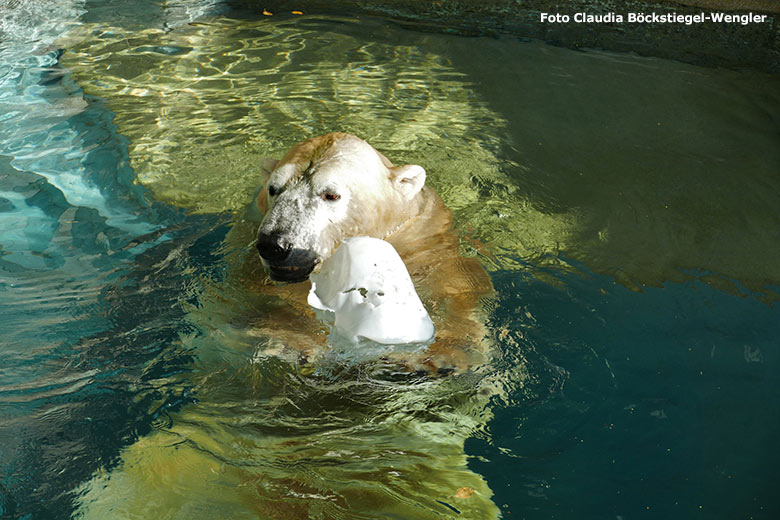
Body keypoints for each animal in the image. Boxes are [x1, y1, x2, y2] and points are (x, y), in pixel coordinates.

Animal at [253, 132, 490, 372]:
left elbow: (457, 281)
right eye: (273, 188)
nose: (274, 244)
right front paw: (293, 341)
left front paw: (449, 352)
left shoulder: (426, 240)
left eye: (331, 195)